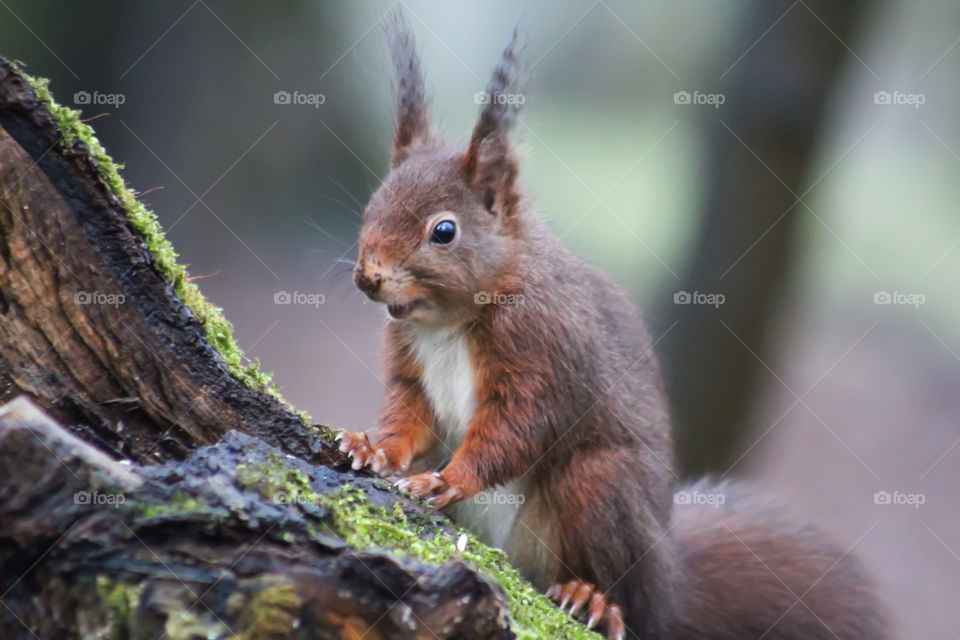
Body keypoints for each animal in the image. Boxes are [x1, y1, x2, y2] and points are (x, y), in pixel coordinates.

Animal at [338, 15, 891, 640]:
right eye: (371, 208)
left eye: (444, 231)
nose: (368, 278)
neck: (450, 321)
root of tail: (671, 585)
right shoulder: (411, 361)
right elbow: (408, 415)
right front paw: (374, 448)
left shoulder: (547, 353)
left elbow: (516, 428)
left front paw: (449, 478)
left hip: (602, 484)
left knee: (617, 579)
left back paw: (594, 597)